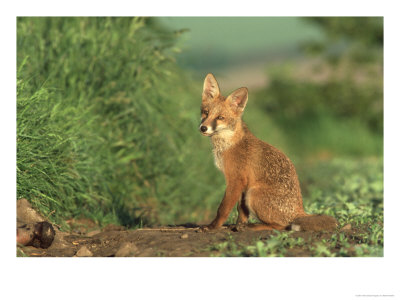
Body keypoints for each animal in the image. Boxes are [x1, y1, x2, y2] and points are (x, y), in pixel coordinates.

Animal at [198, 73, 336, 232]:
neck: (228, 145)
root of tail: (299, 210)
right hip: (250, 192)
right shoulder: (243, 183)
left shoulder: (236, 180)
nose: (203, 128)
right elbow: (242, 210)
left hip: (253, 194)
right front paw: (239, 224)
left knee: (281, 226)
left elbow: (223, 208)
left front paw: (213, 226)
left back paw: (254, 226)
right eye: (206, 112)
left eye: (220, 117)